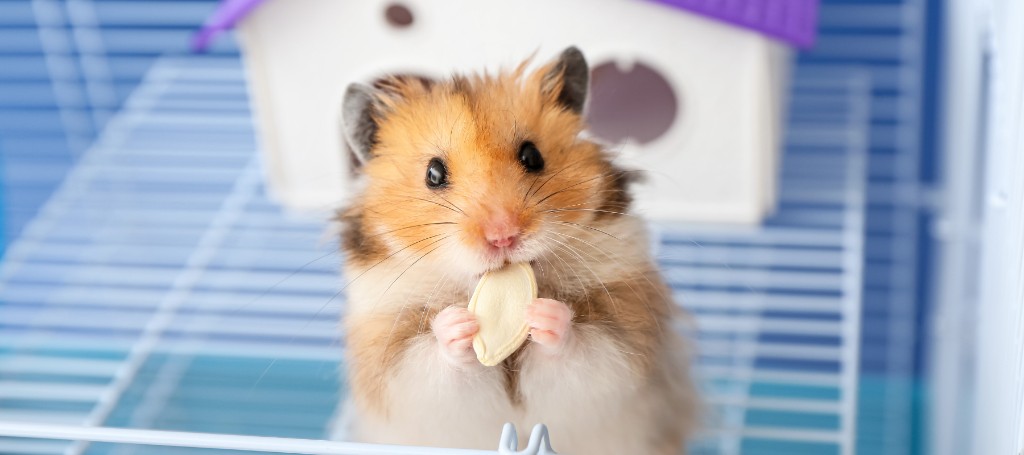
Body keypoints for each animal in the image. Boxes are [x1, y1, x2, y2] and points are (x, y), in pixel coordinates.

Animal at [337, 47, 698, 454]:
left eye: (532, 156)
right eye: (433, 173)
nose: (503, 236)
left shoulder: (623, 348)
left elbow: (583, 351)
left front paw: (545, 314)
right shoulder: (396, 367)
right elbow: (432, 363)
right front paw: (457, 324)